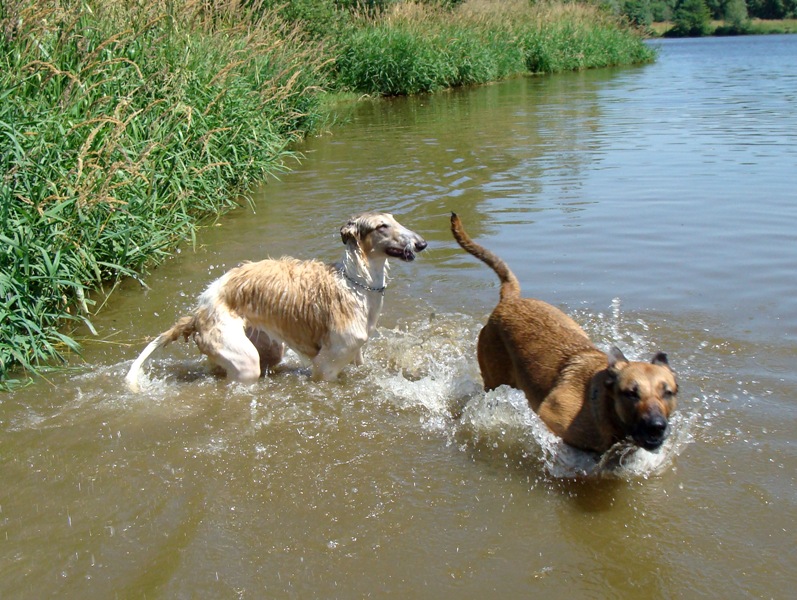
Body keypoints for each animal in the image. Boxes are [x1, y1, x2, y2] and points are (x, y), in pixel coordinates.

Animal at [124, 213, 426, 392]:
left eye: (395, 220)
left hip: (265, 347)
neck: (355, 284)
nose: (422, 243)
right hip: (244, 360)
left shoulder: (356, 354)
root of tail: (198, 312)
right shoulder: (325, 367)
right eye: (381, 226)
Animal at [450, 213, 676, 452]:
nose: (656, 426)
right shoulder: (551, 416)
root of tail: (509, 299)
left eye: (668, 392)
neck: (600, 399)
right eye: (631, 393)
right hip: (493, 380)